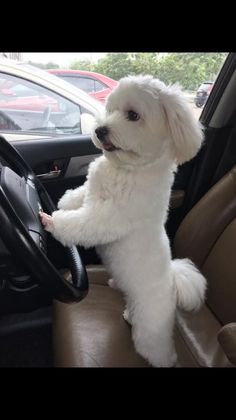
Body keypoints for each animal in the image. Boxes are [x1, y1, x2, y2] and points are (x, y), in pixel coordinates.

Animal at [40, 76, 206, 368]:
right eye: (111, 109)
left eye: (133, 115)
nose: (100, 130)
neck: (130, 168)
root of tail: (172, 282)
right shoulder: (92, 191)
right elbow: (81, 194)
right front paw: (65, 202)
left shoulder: (109, 217)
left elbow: (82, 223)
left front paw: (53, 221)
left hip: (151, 326)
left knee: (156, 347)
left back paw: (164, 360)